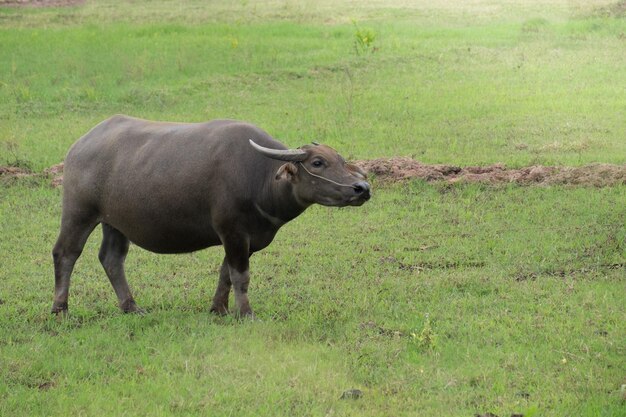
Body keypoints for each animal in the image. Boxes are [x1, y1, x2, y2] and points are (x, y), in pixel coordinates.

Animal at [51, 114, 370, 316]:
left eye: (340, 159)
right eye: (317, 163)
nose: (362, 188)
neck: (260, 178)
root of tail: (79, 146)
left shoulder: (244, 238)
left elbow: (225, 273)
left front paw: (219, 309)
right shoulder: (233, 231)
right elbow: (241, 275)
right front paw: (246, 313)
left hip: (115, 222)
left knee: (112, 259)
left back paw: (131, 306)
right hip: (79, 212)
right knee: (66, 253)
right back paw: (61, 309)